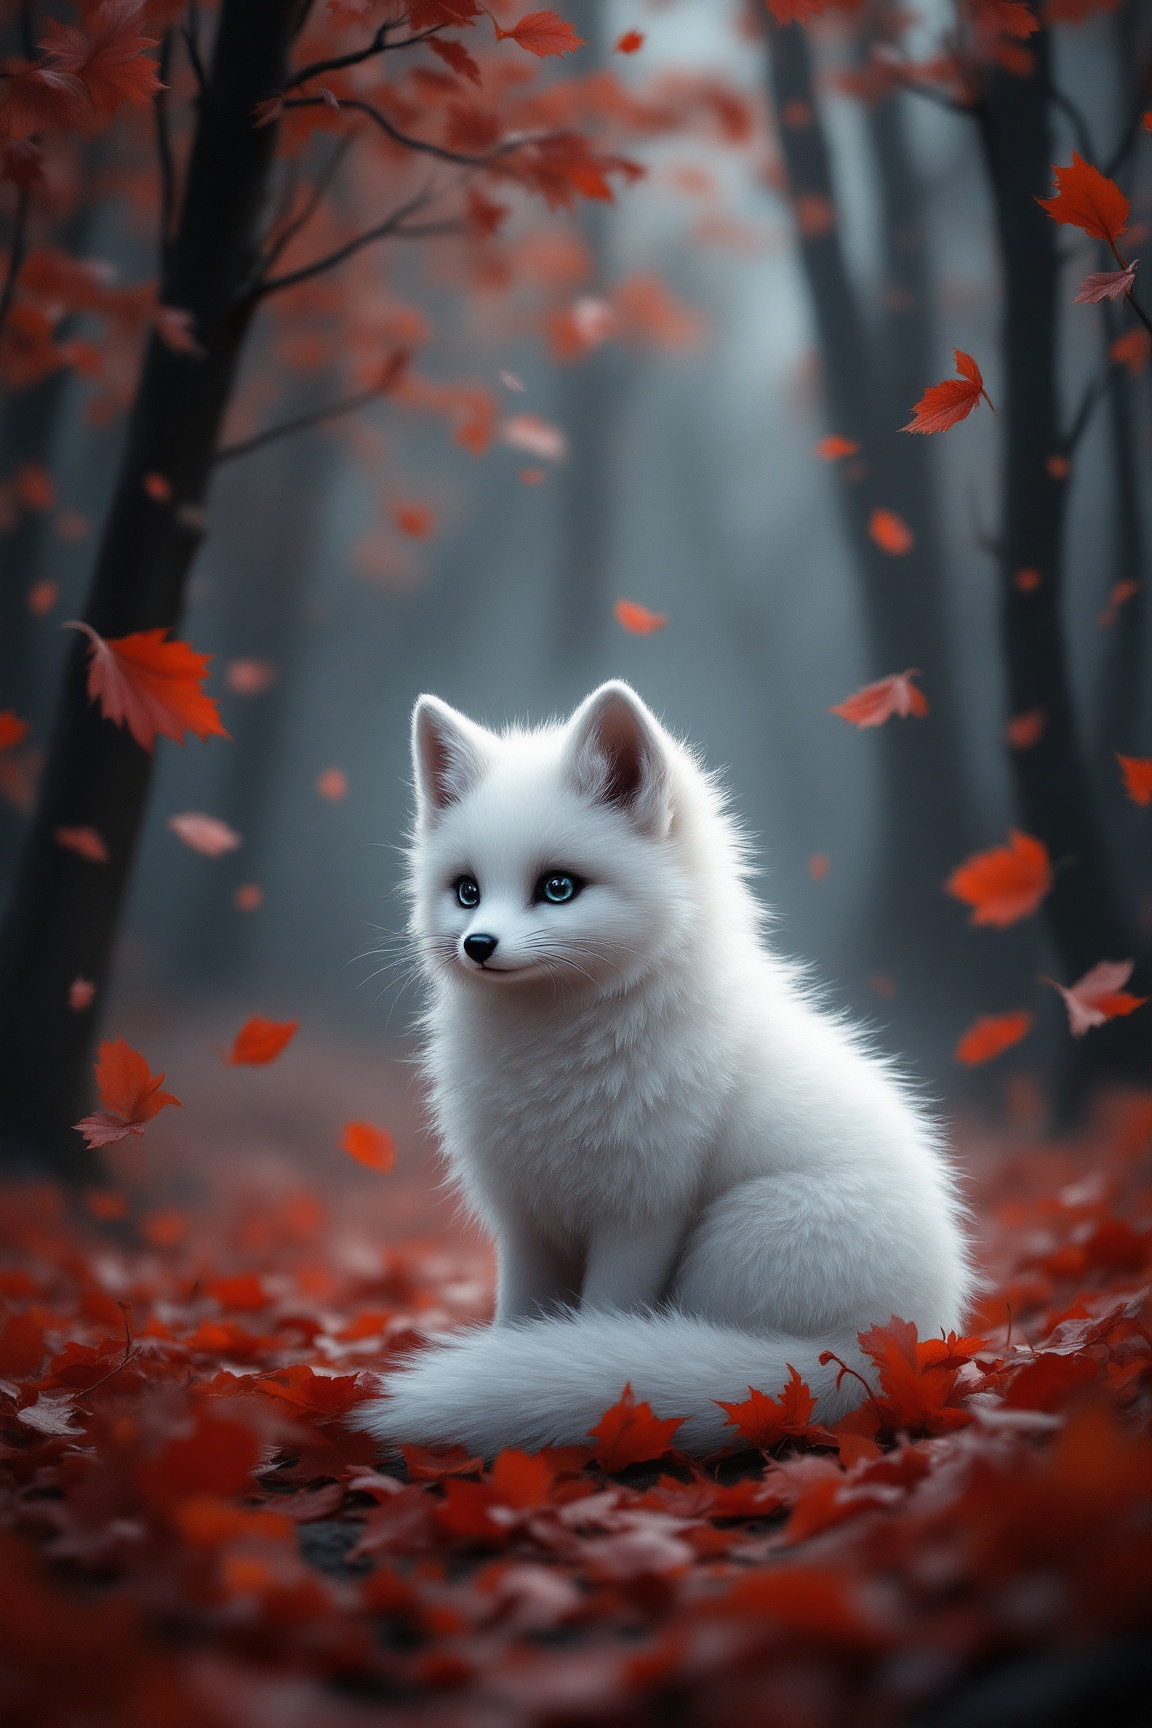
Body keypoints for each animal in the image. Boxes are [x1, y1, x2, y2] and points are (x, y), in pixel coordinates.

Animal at [360, 681, 972, 1456]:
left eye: (557, 887)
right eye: (466, 890)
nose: (478, 944)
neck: (551, 1056)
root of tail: (902, 1349)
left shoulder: (642, 1213)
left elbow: (599, 1323)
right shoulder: (526, 1220)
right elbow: (519, 1321)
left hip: (732, 1238)